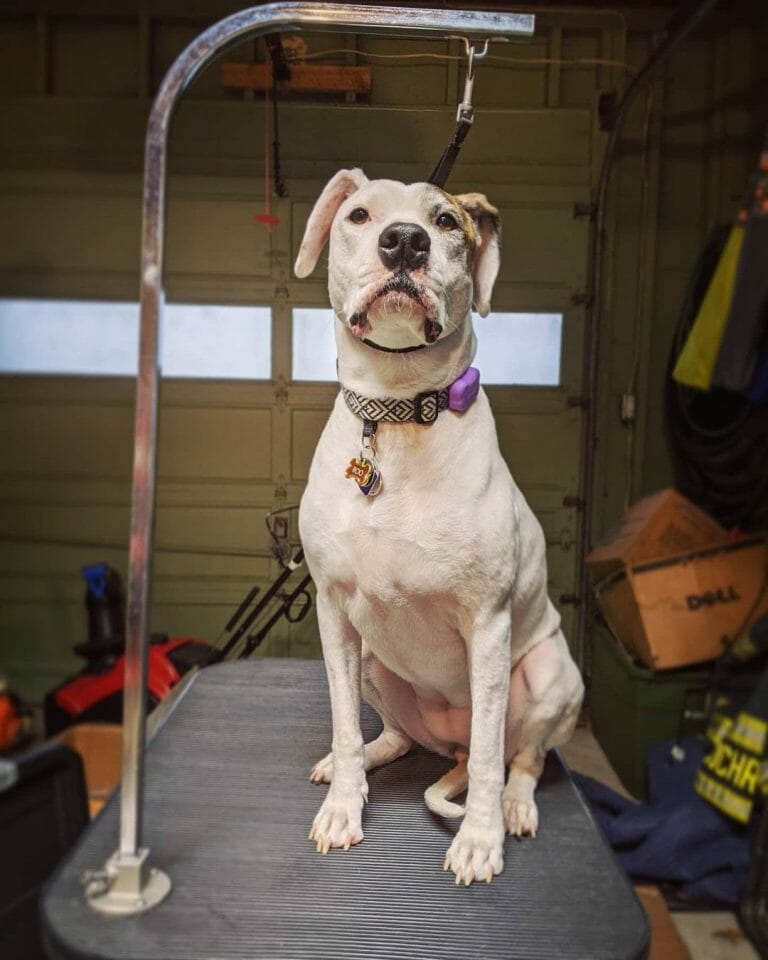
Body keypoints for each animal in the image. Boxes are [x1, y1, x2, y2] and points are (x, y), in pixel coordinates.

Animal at [294, 167, 584, 884]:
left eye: (447, 220)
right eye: (359, 215)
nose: (404, 241)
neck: (396, 415)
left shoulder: (487, 624)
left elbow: (487, 759)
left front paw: (479, 840)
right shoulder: (335, 615)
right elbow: (345, 725)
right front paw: (343, 807)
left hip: (551, 676)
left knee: (519, 756)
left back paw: (514, 806)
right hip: (374, 660)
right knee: (397, 737)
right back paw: (358, 765)